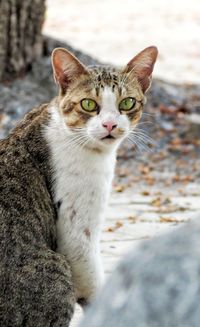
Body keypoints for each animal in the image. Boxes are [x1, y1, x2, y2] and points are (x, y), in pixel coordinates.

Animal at [0, 44, 158, 326]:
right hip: (56, 270)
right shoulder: (76, 234)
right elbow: (93, 282)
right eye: (88, 104)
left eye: (127, 103)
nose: (110, 124)